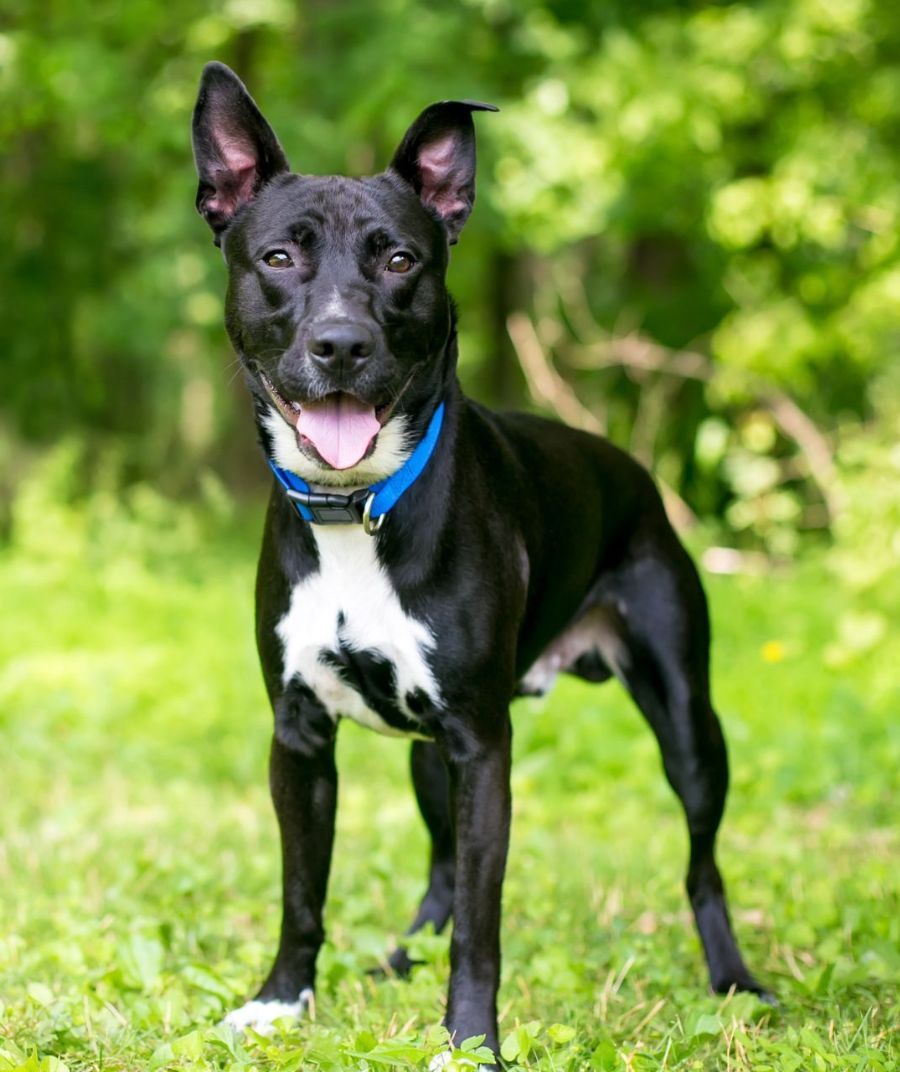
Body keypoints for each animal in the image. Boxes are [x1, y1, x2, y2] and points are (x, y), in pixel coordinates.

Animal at [191, 62, 771, 1059]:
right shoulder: (301, 740)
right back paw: (400, 956)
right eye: (278, 259)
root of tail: (630, 470)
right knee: (439, 872)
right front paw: (281, 1000)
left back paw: (732, 979)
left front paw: (470, 1043)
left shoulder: (483, 750)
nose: (340, 345)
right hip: (434, 757)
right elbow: (304, 891)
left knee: (702, 866)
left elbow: (484, 920)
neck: (360, 510)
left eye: (399, 261)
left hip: (689, 728)